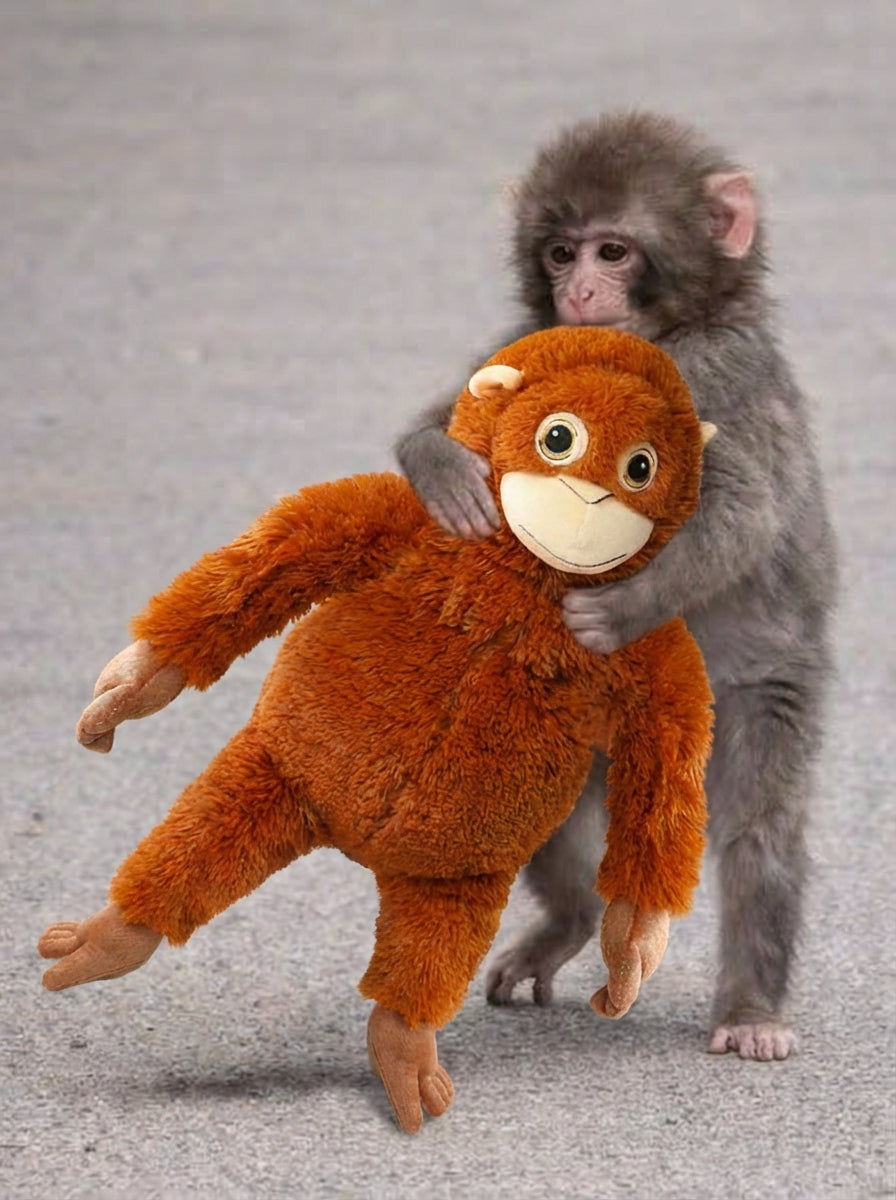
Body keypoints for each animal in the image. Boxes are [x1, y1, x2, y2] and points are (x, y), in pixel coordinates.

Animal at [396, 111, 837, 1061]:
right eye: (560, 253)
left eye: (614, 250)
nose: (582, 292)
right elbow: (452, 416)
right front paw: (440, 467)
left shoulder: (717, 371)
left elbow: (742, 509)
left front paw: (615, 611)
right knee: (541, 807)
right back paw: (572, 918)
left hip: (749, 705)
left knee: (759, 832)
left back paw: (751, 1007)